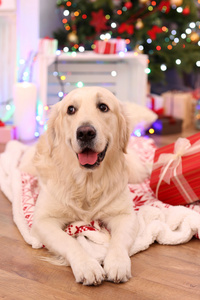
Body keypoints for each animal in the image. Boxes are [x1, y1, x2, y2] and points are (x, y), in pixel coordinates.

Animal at [25, 86, 147, 286]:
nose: (85, 132)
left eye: (103, 107)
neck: (87, 183)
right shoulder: (43, 221)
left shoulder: (125, 215)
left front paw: (117, 263)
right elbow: (69, 241)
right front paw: (87, 266)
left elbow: (119, 240)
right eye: (71, 109)